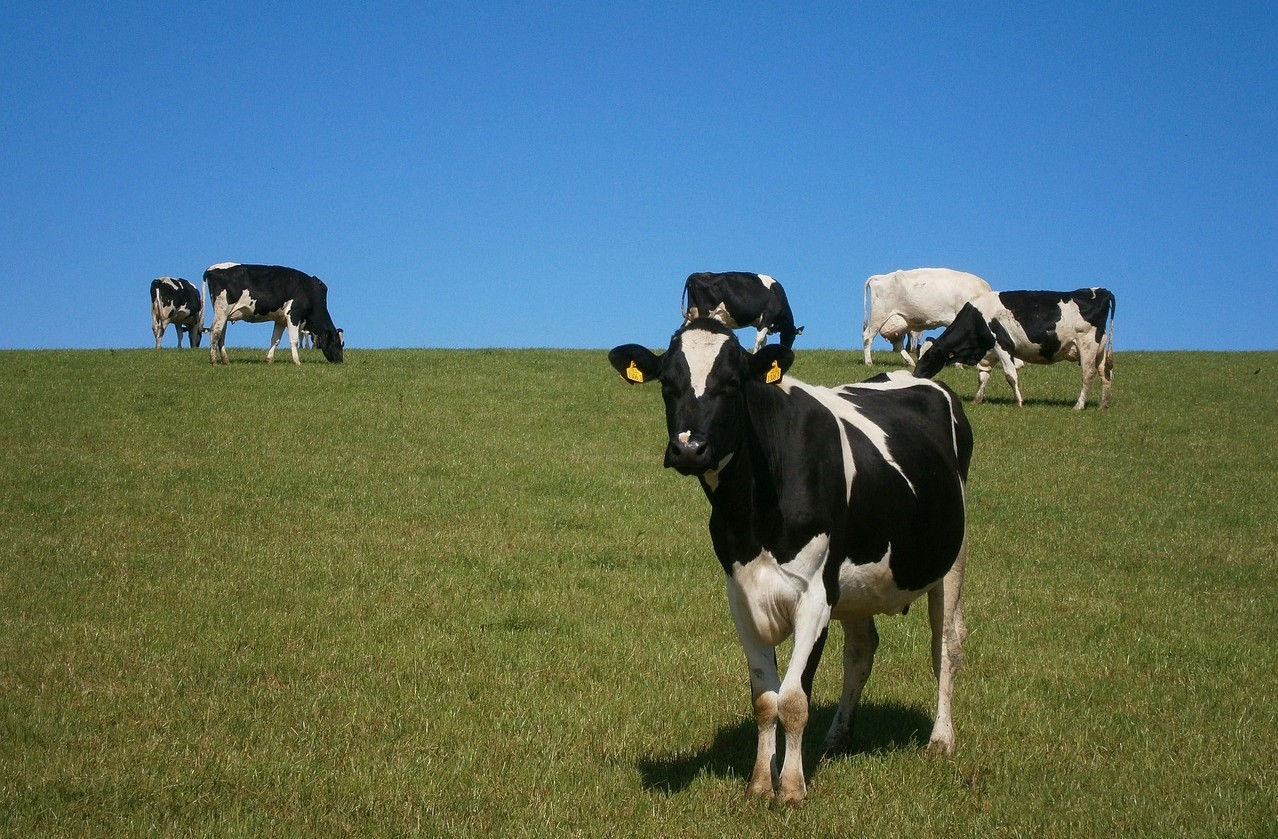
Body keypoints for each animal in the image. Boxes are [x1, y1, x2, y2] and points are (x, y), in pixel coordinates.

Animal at [200, 263, 342, 365]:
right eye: (337, 343)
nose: (340, 360)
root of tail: (211, 269)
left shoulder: (280, 319)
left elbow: (275, 339)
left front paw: (269, 360)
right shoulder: (294, 314)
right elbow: (294, 339)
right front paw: (297, 362)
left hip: (224, 313)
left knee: (221, 334)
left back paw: (225, 360)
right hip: (222, 309)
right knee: (215, 331)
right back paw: (214, 361)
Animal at [608, 319, 966, 808]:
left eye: (731, 383)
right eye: (667, 385)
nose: (688, 449)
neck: (753, 511)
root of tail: (918, 377)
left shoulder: (814, 595)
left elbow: (794, 699)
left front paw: (792, 788)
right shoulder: (742, 595)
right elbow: (765, 698)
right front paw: (761, 782)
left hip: (950, 562)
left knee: (945, 646)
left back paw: (941, 739)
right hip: (855, 585)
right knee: (860, 652)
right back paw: (837, 737)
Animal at [863, 267, 991, 363]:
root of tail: (878, 277)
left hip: (898, 321)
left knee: (898, 342)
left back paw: (911, 362)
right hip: (879, 315)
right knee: (868, 336)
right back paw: (869, 362)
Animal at [915, 285, 1114, 409]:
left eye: (928, 358)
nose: (915, 375)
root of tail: (1101, 291)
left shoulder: (1003, 346)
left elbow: (1010, 376)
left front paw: (1019, 402)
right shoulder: (988, 354)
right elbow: (982, 377)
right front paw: (976, 400)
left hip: (1087, 346)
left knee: (1088, 375)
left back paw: (1078, 406)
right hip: (1100, 350)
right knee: (1105, 374)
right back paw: (1103, 405)